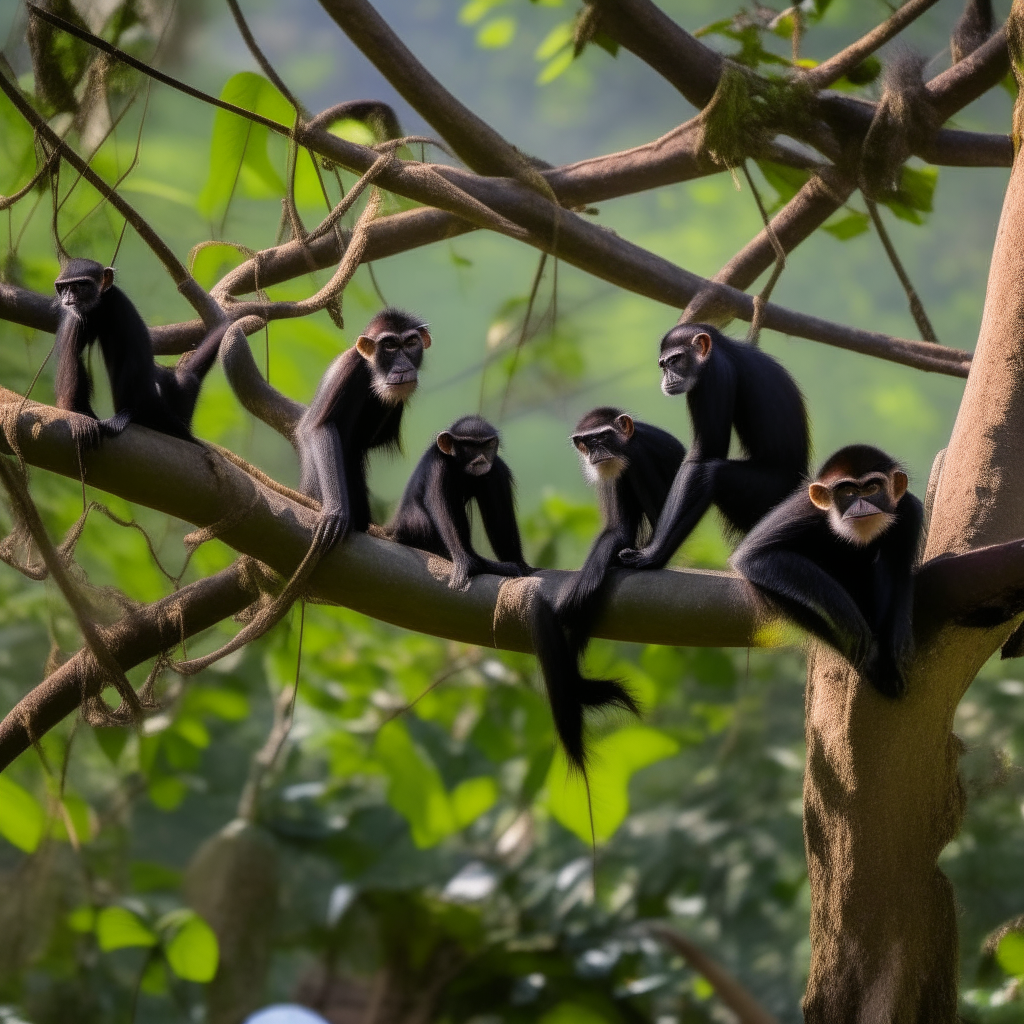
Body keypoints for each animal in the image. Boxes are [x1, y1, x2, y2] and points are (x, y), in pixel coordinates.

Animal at [294, 307, 430, 557]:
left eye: (411, 343)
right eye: (389, 346)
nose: (403, 366)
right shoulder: (348, 366)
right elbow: (318, 427)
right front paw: (335, 512)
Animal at [614, 323, 806, 573]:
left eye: (675, 359)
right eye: (664, 364)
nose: (667, 375)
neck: (722, 349)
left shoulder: (713, 376)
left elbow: (704, 457)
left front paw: (651, 555)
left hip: (764, 494)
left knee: (713, 472)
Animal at [733, 444, 925, 700]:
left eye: (872, 488)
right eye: (848, 492)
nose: (861, 505)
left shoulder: (910, 509)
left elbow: (902, 571)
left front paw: (898, 648)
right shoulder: (804, 510)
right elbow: (755, 556)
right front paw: (850, 621)